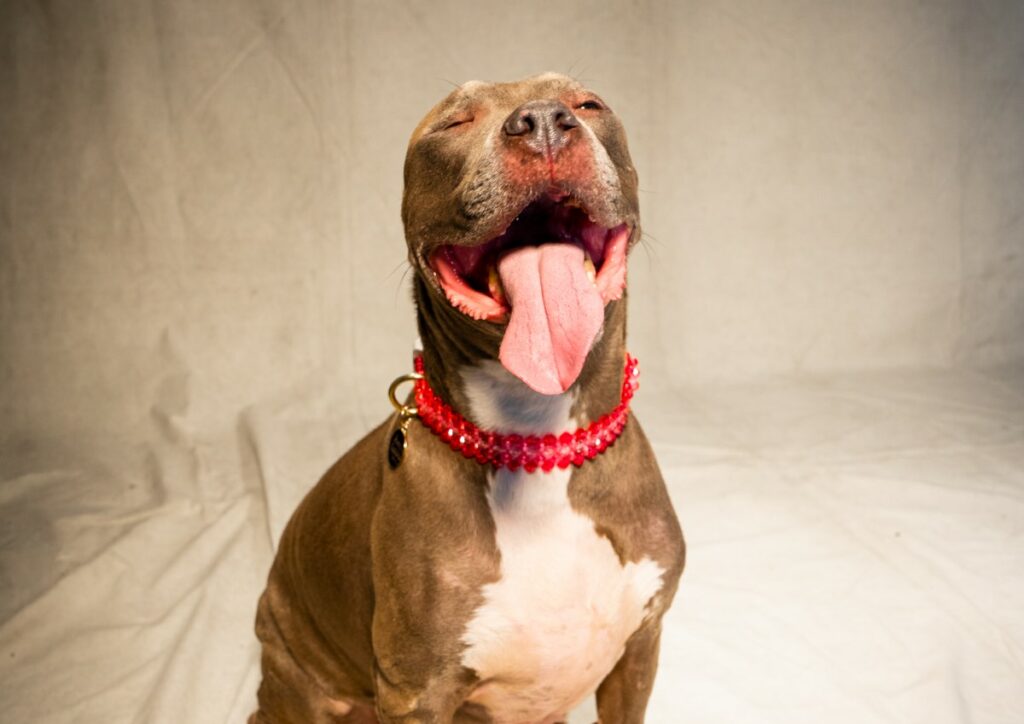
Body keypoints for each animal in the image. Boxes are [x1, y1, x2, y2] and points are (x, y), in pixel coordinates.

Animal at [249, 73, 688, 724]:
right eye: (453, 123)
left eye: (588, 104)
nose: (542, 121)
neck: (539, 440)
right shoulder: (416, 693)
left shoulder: (640, 648)